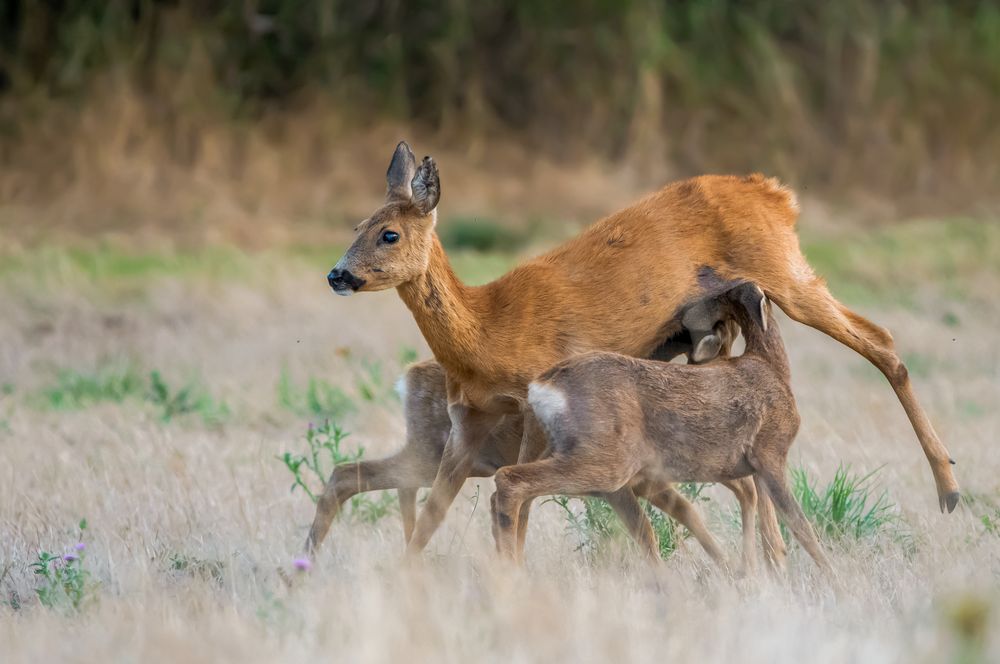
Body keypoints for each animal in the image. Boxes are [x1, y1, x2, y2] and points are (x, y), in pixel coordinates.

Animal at [324, 141, 956, 556]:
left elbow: (516, 503)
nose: (337, 274)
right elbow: (433, 513)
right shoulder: (469, 418)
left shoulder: (529, 404)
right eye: (355, 225)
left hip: (785, 272)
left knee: (883, 343)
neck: (487, 331)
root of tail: (776, 194)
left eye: (389, 234)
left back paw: (948, 490)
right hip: (715, 331)